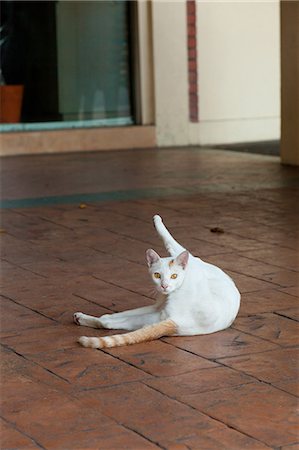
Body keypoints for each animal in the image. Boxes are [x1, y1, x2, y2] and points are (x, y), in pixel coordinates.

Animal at [75, 216, 241, 350]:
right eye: (157, 275)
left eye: (174, 276)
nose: (164, 285)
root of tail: (180, 322)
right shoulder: (156, 307)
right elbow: (117, 316)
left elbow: (169, 240)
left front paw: (157, 221)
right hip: (157, 316)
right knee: (111, 320)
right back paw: (83, 318)